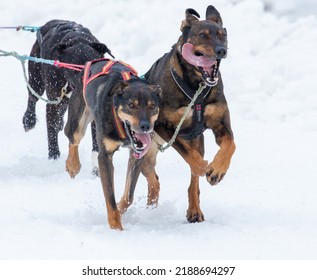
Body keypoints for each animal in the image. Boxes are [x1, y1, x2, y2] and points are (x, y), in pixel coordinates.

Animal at [21, 19, 112, 160]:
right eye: (73, 66)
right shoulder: (53, 102)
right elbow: (51, 130)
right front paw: (54, 156)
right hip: (36, 78)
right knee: (32, 97)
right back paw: (28, 120)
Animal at [65, 59, 162, 230]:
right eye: (131, 105)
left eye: (152, 106)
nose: (145, 126)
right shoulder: (104, 156)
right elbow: (109, 197)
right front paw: (116, 228)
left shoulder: (136, 156)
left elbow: (129, 196)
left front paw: (121, 209)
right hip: (78, 122)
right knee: (72, 138)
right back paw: (73, 165)